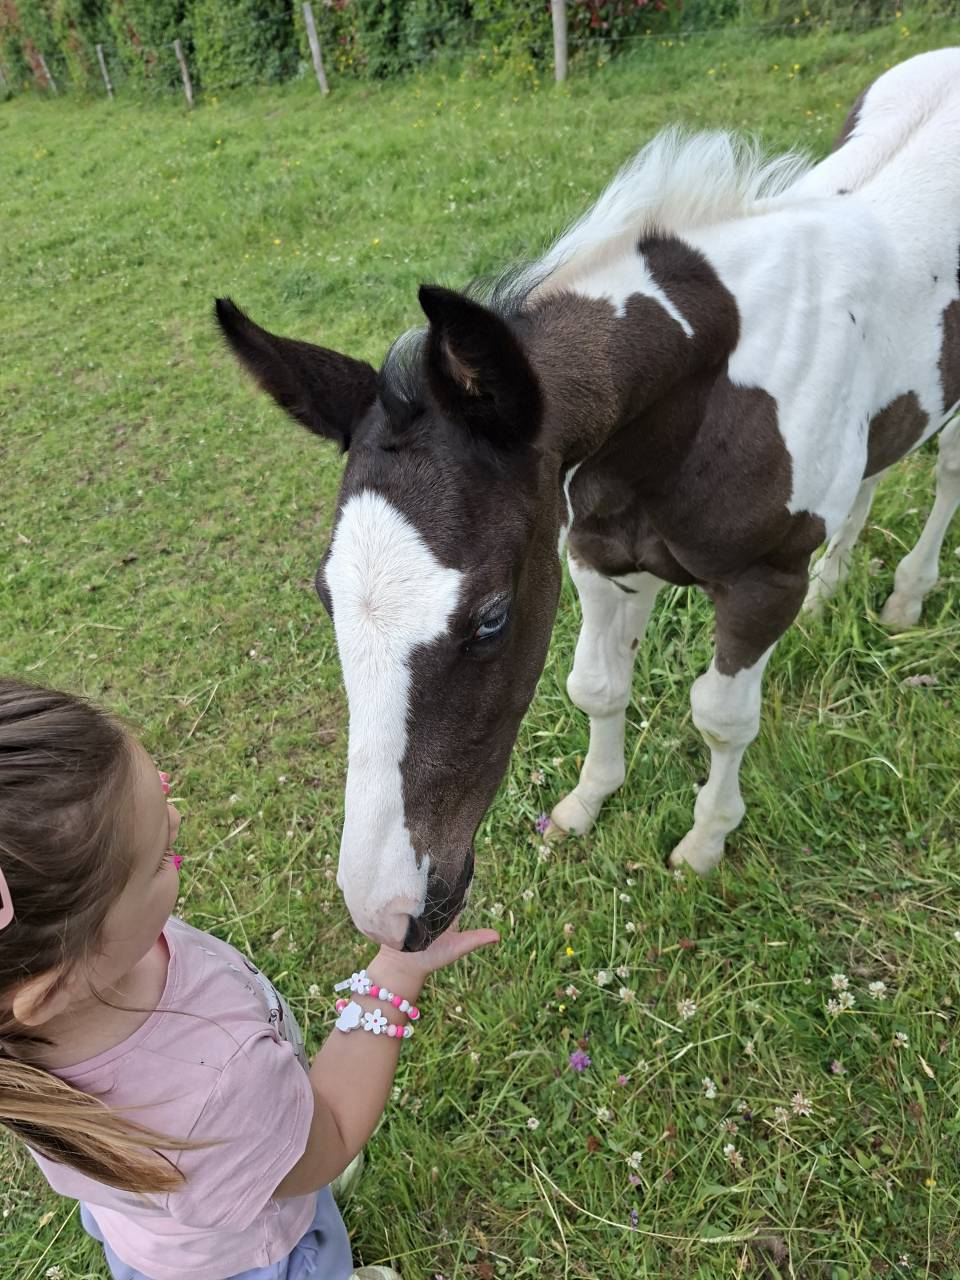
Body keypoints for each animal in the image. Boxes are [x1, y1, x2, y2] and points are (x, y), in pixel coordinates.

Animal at [217, 48, 960, 952]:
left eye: (492, 618)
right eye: (323, 598)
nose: (388, 911)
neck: (706, 390)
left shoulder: (763, 579)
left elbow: (722, 716)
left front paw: (706, 843)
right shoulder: (598, 554)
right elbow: (596, 686)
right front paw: (584, 803)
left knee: (947, 470)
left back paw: (905, 598)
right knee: (880, 466)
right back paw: (835, 588)